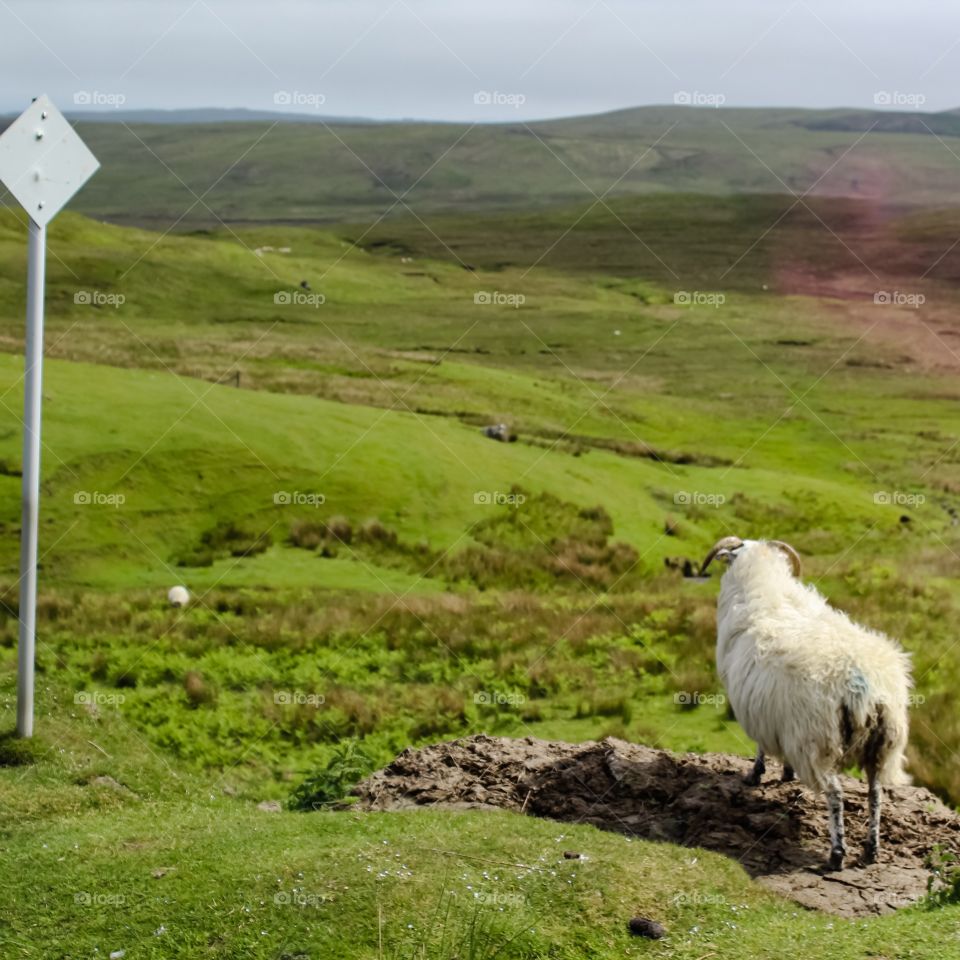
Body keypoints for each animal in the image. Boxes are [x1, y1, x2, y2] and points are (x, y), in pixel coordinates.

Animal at [700, 536, 911, 870]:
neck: (764, 587)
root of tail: (865, 685)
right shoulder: (778, 716)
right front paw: (785, 772)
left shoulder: (761, 708)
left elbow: (760, 747)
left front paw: (756, 774)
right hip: (883, 745)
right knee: (876, 793)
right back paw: (870, 850)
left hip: (817, 739)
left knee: (836, 794)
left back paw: (837, 854)